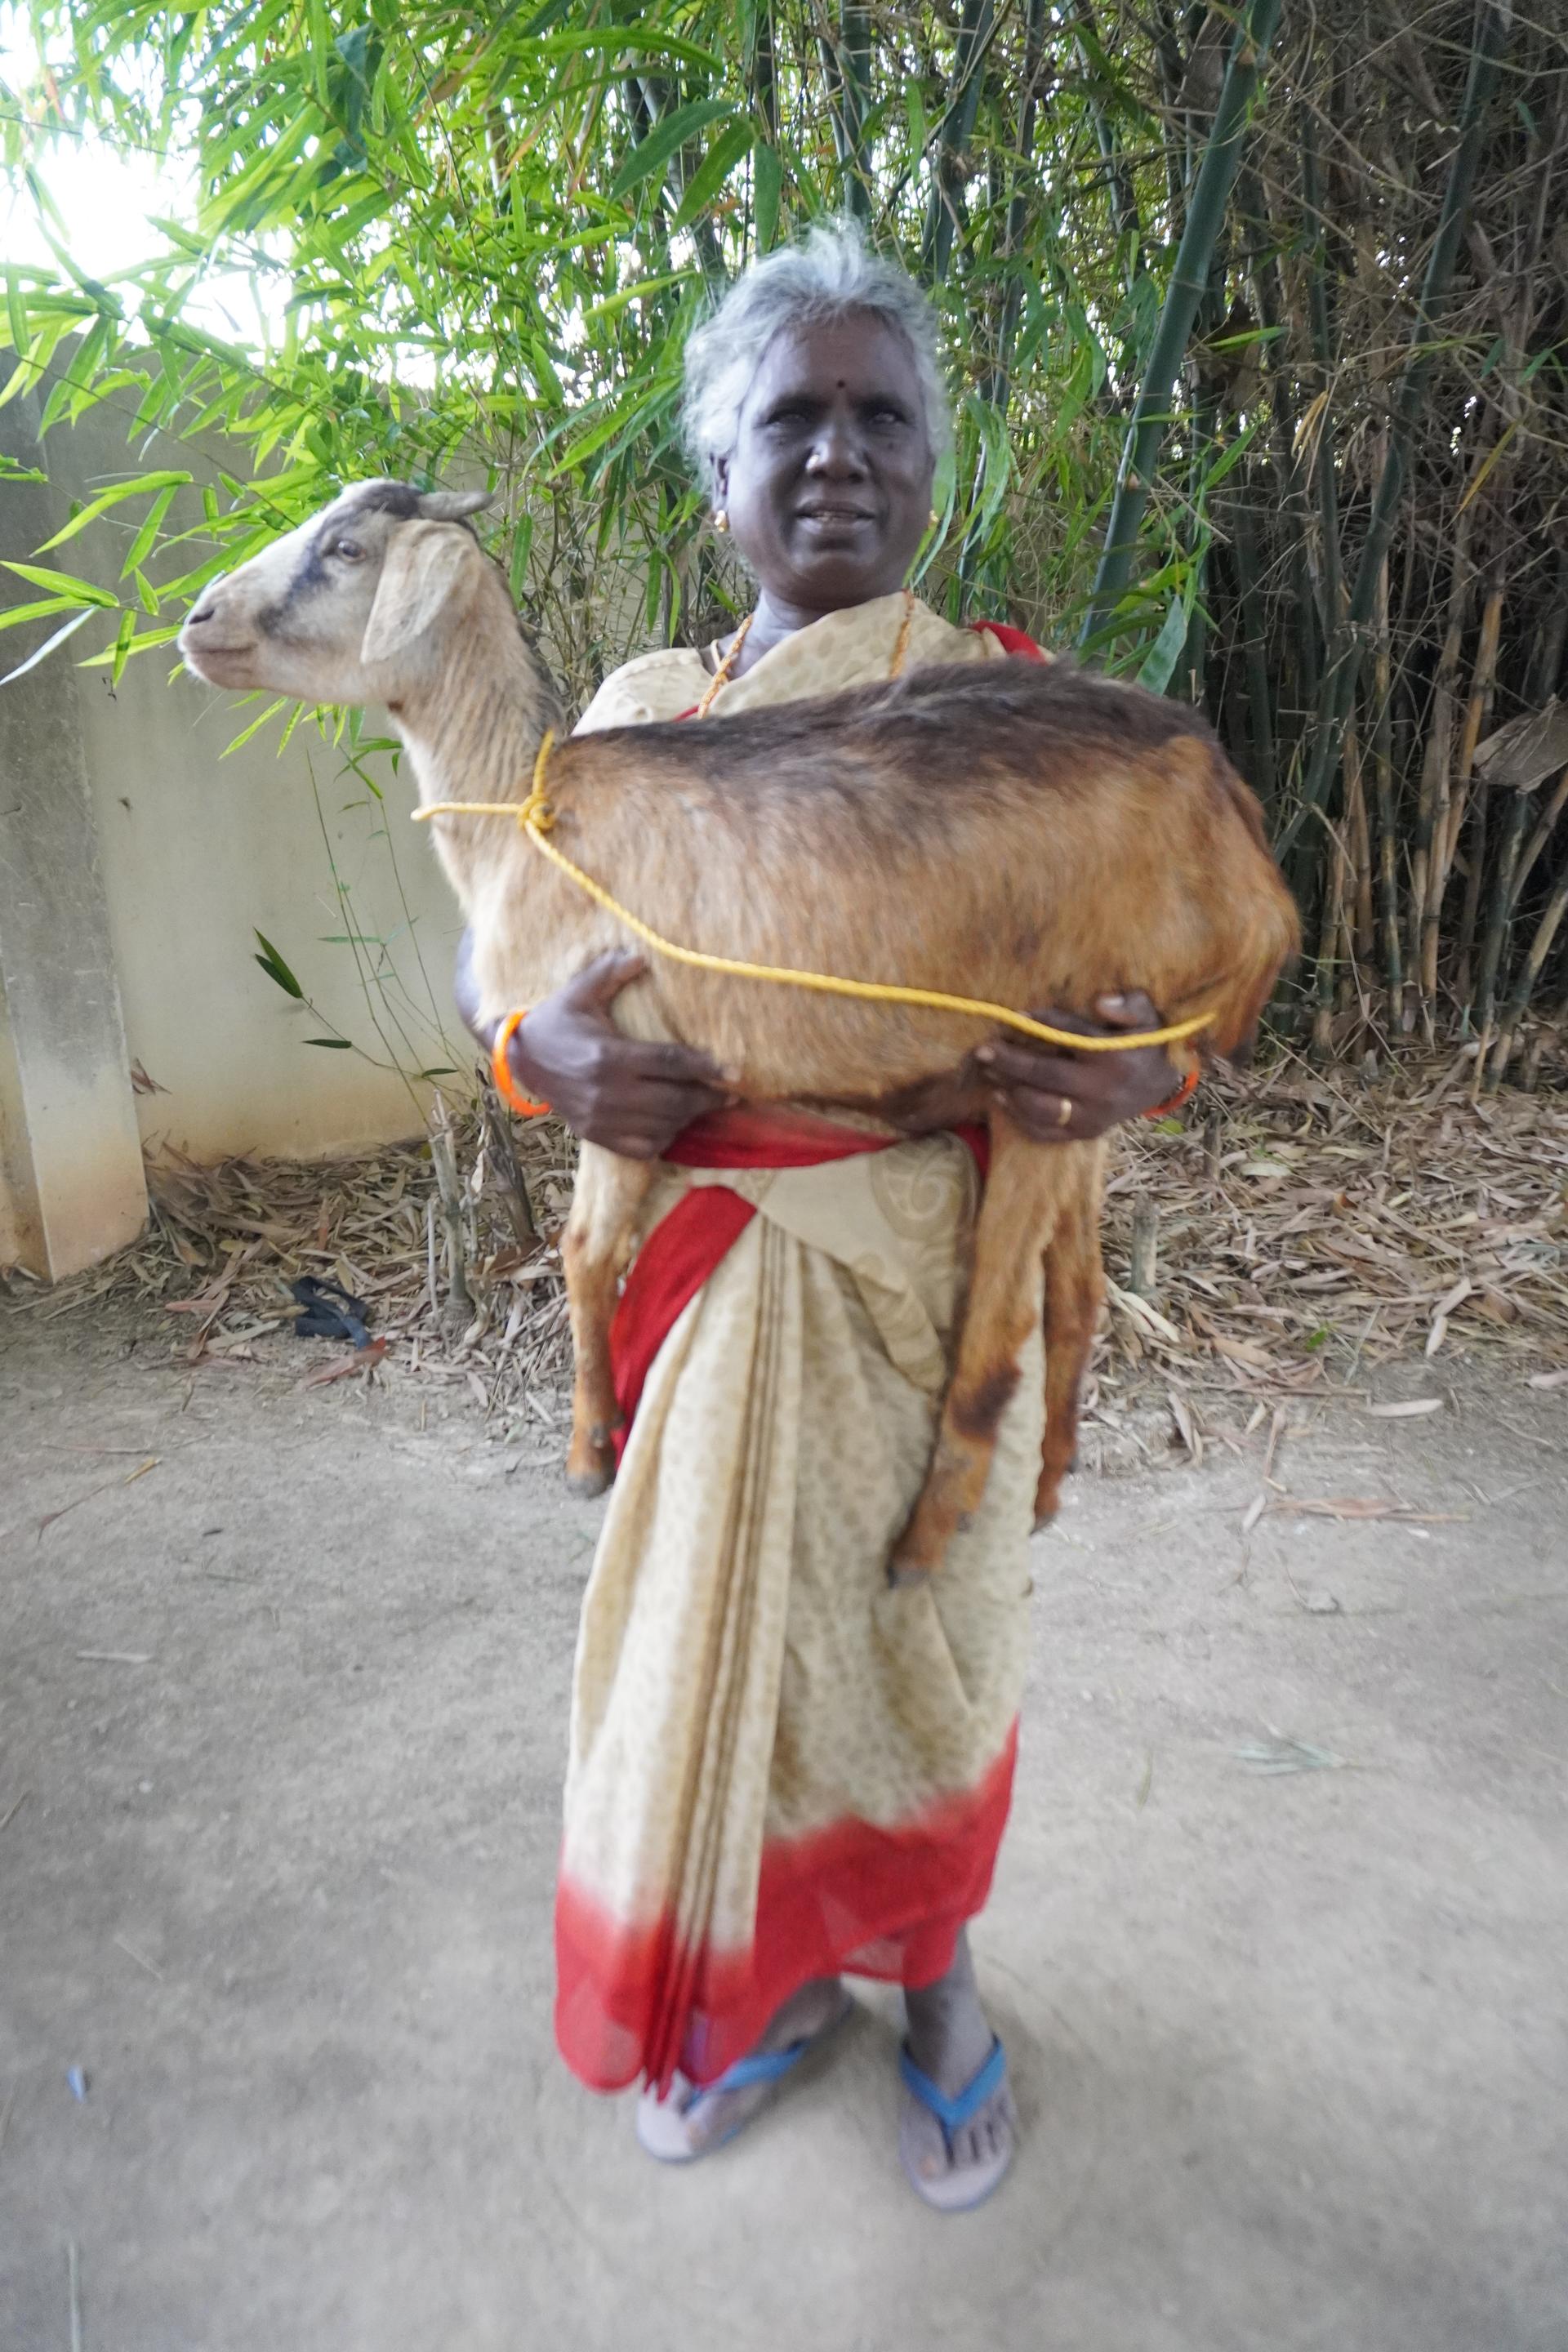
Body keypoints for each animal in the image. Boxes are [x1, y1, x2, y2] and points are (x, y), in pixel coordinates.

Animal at [180, 481, 1299, 1581]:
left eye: (346, 549)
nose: (196, 619)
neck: (530, 815)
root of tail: (1250, 858)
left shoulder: (624, 1056)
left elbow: (585, 1250)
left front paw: (589, 1454)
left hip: (1053, 1065)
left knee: (995, 1340)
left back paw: (917, 1547)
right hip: (1083, 1094)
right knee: (1078, 1291)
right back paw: (1049, 1485)